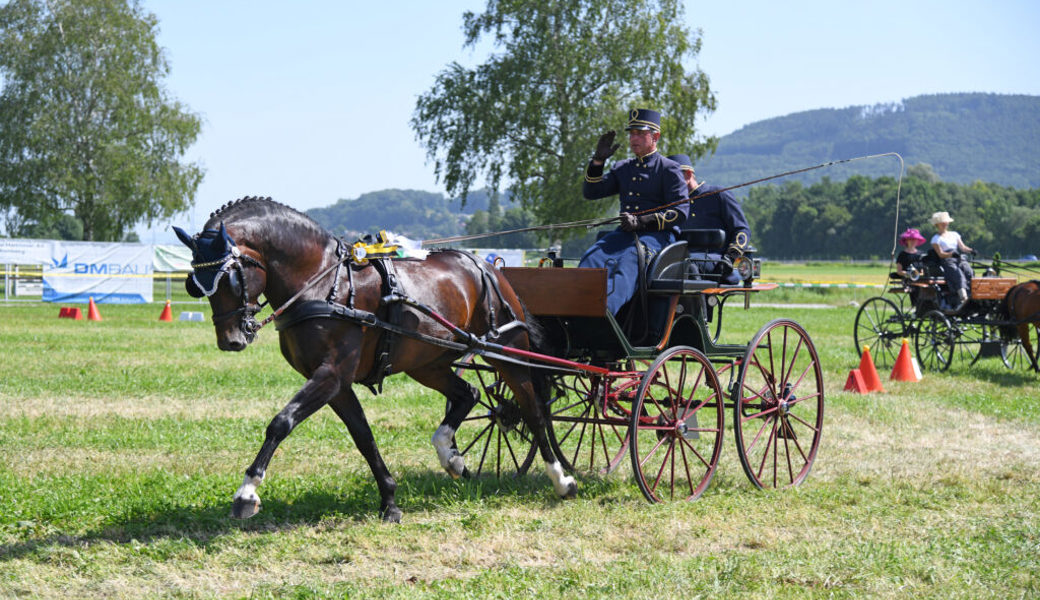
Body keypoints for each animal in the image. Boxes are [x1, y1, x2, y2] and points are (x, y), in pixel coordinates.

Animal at [172, 196, 578, 519]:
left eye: (231, 277)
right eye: (195, 283)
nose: (231, 340)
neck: (323, 283)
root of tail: (488, 266)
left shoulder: (331, 374)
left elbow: (281, 422)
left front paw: (247, 492)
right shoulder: (337, 384)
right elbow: (363, 437)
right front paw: (390, 500)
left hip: (505, 352)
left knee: (533, 410)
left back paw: (562, 478)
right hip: (427, 362)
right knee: (468, 394)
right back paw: (451, 455)